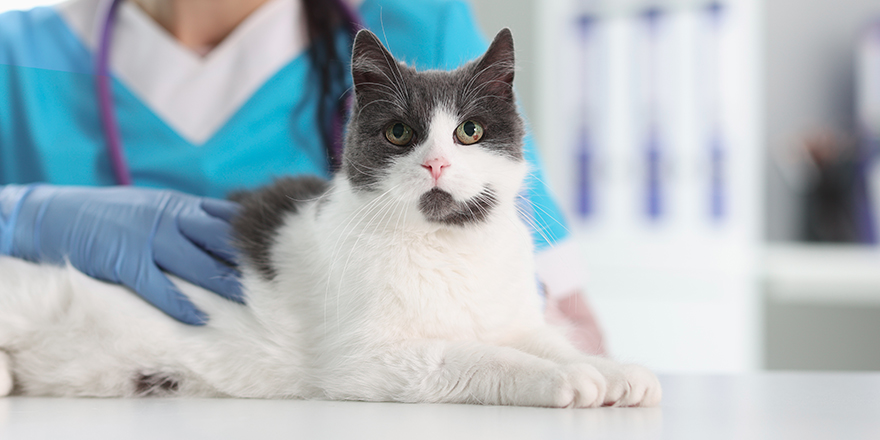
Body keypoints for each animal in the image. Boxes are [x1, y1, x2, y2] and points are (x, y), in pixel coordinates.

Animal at [0, 29, 660, 408]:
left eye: (470, 131)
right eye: (400, 133)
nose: (438, 163)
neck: (447, 248)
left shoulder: (512, 318)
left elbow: (550, 340)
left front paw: (614, 371)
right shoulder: (372, 362)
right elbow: (481, 358)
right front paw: (565, 382)